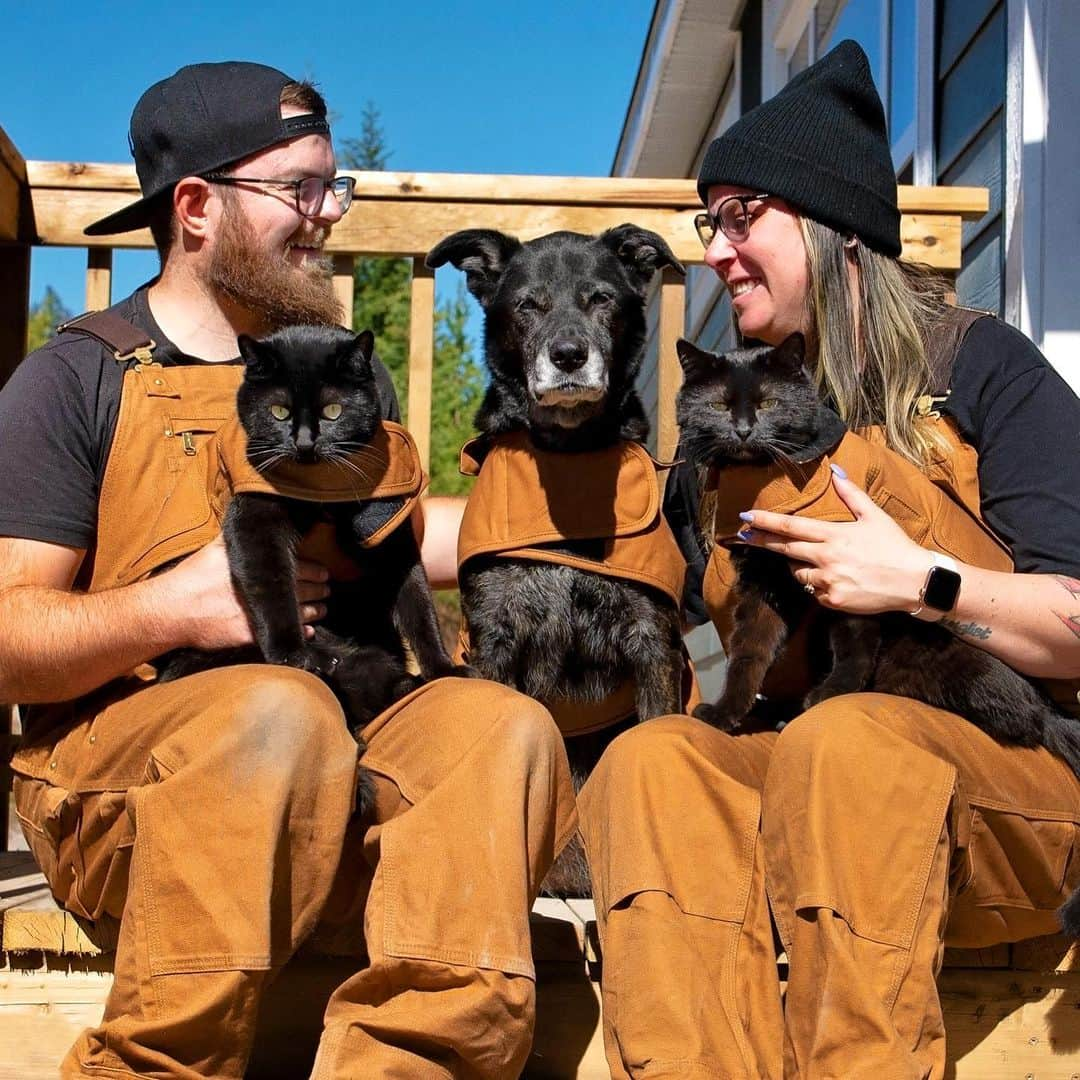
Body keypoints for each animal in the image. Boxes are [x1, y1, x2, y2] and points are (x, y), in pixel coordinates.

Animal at [157, 324, 473, 764]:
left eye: (333, 412)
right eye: (279, 412)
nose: (305, 443)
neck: (321, 495)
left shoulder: (391, 532)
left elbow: (418, 603)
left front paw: (443, 669)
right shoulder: (253, 518)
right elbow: (271, 585)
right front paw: (291, 654)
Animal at [673, 332, 1080, 812]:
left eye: (769, 402)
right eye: (718, 405)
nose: (742, 430)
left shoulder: (850, 576)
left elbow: (855, 648)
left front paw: (828, 697)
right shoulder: (764, 580)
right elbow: (749, 652)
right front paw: (726, 713)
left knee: (1023, 722)